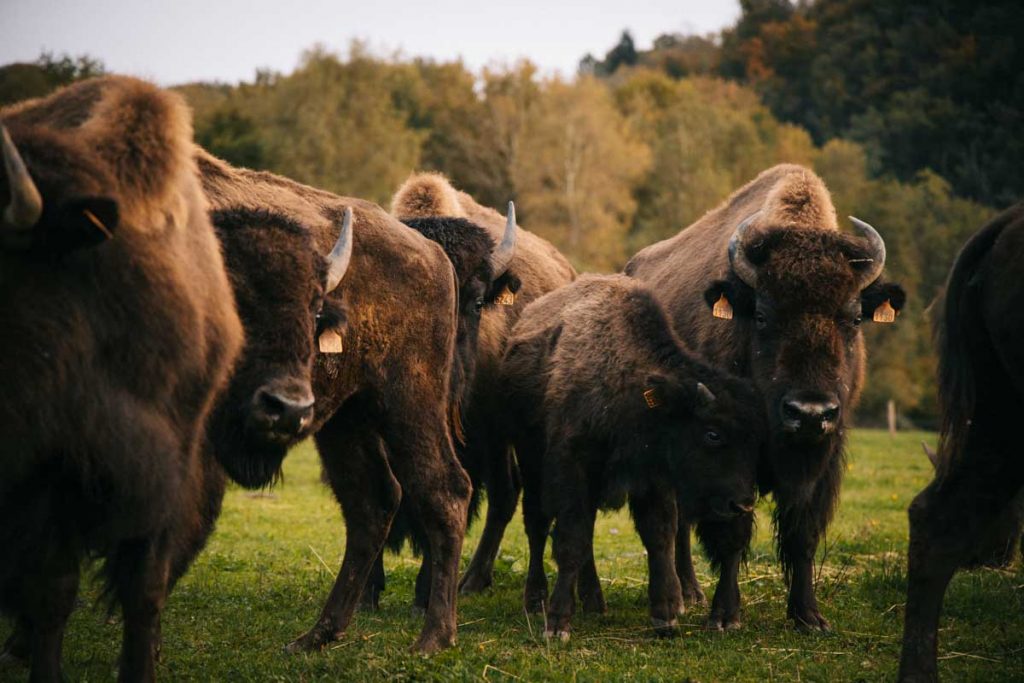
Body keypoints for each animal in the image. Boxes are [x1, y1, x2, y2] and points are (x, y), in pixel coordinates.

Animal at [500, 274, 765, 639]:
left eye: (754, 441)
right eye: (712, 434)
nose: (742, 504)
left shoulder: (652, 480)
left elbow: (659, 536)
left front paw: (665, 616)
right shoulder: (573, 470)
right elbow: (570, 540)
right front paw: (556, 623)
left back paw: (594, 601)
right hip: (531, 462)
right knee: (537, 525)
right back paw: (536, 600)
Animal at [626, 164, 906, 630]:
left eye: (853, 318)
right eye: (761, 314)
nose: (809, 413)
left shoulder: (824, 459)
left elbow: (802, 535)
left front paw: (809, 616)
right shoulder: (728, 456)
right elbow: (733, 535)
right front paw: (725, 616)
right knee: (676, 521)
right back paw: (688, 594)